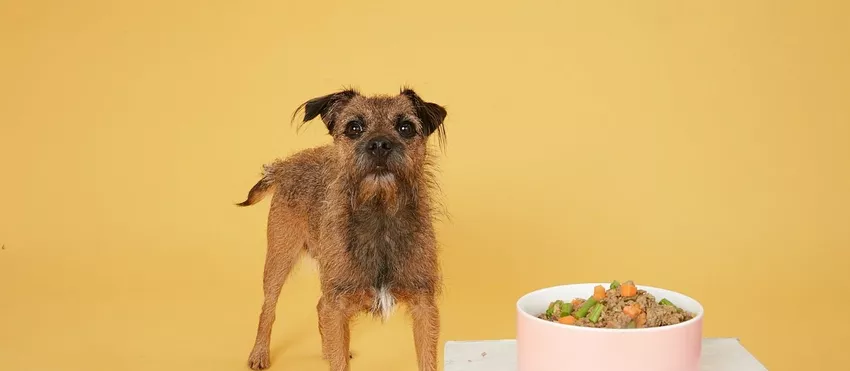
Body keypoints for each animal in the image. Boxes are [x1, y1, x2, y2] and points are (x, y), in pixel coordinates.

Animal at [235, 88, 448, 371]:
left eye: (406, 127)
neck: (379, 214)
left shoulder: (424, 305)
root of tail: (285, 165)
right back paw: (259, 354)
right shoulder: (337, 303)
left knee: (319, 306)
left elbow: (426, 359)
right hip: (279, 260)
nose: (379, 144)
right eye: (354, 127)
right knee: (268, 308)